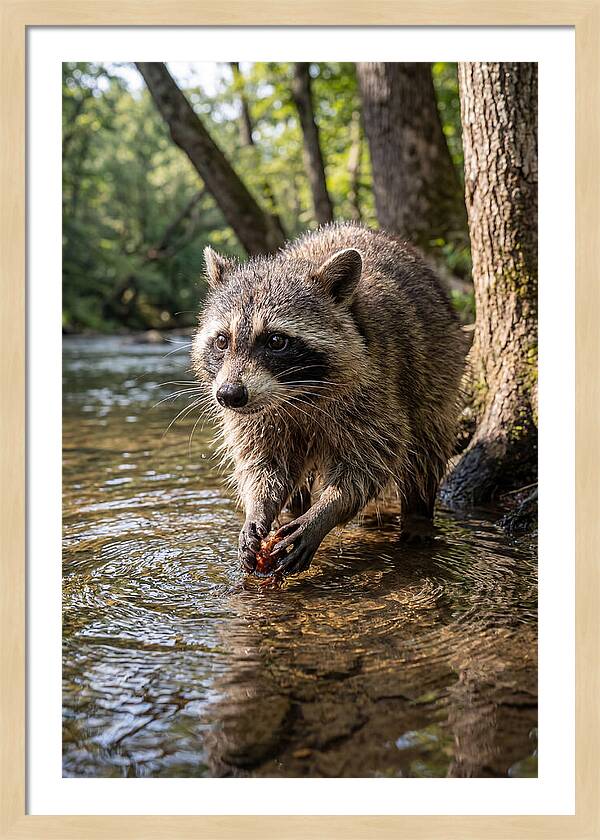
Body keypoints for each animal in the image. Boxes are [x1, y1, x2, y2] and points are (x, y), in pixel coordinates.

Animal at [192, 223, 465, 577]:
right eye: (222, 341)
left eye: (276, 341)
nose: (228, 396)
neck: (295, 394)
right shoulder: (257, 415)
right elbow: (264, 463)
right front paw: (258, 507)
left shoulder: (376, 388)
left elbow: (371, 462)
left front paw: (326, 511)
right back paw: (294, 509)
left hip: (438, 368)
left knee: (426, 448)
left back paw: (418, 514)